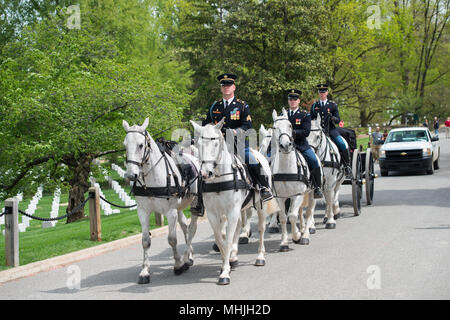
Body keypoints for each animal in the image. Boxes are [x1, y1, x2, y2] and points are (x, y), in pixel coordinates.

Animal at [121, 119, 199, 284]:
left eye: (141, 145)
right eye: (125, 145)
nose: (131, 175)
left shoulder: (170, 212)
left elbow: (172, 239)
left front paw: (178, 265)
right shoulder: (143, 211)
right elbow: (145, 240)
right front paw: (144, 271)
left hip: (195, 204)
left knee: (192, 228)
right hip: (180, 207)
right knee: (185, 227)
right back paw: (189, 255)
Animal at [189, 119, 276, 284]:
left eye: (216, 143)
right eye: (198, 144)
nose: (205, 173)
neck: (219, 179)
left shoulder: (232, 211)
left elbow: (228, 239)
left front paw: (225, 273)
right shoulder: (213, 213)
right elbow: (220, 239)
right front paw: (227, 262)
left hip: (259, 205)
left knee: (261, 229)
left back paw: (260, 256)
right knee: (239, 228)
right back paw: (234, 256)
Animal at [272, 109, 314, 249]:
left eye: (290, 125)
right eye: (274, 127)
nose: (285, 145)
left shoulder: (298, 194)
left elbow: (293, 216)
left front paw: (297, 236)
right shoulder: (280, 197)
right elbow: (284, 217)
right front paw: (284, 242)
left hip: (311, 193)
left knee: (308, 212)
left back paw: (305, 235)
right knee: (300, 210)